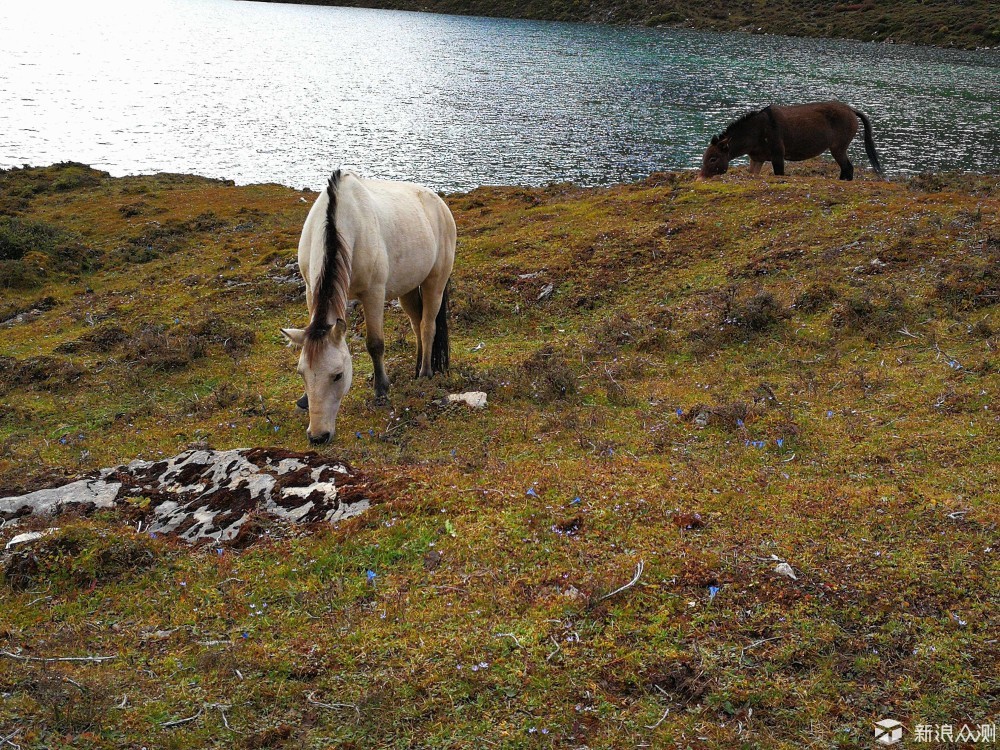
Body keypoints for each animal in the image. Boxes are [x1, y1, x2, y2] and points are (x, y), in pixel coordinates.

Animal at [280, 170, 456, 444]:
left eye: (338, 375)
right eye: (302, 374)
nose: (318, 436)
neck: (343, 222)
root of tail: (439, 203)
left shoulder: (373, 293)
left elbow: (375, 344)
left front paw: (381, 390)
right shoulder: (310, 289)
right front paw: (304, 399)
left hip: (435, 282)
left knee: (428, 326)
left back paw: (425, 373)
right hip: (407, 288)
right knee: (416, 324)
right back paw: (417, 365)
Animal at [704, 101, 884, 181]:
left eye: (713, 158)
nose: (701, 178)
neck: (755, 133)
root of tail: (852, 110)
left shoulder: (777, 154)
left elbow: (779, 173)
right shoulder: (756, 159)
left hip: (838, 147)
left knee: (848, 168)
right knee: (846, 168)